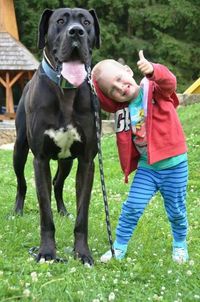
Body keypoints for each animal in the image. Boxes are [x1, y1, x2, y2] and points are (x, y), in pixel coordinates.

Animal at [12, 7, 100, 264]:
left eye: (86, 22)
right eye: (60, 21)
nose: (76, 32)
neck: (66, 91)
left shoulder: (87, 161)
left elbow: (82, 214)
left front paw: (82, 253)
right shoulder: (40, 159)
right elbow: (44, 213)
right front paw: (47, 252)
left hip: (67, 161)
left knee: (58, 184)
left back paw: (63, 211)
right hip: (19, 150)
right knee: (22, 183)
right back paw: (17, 211)